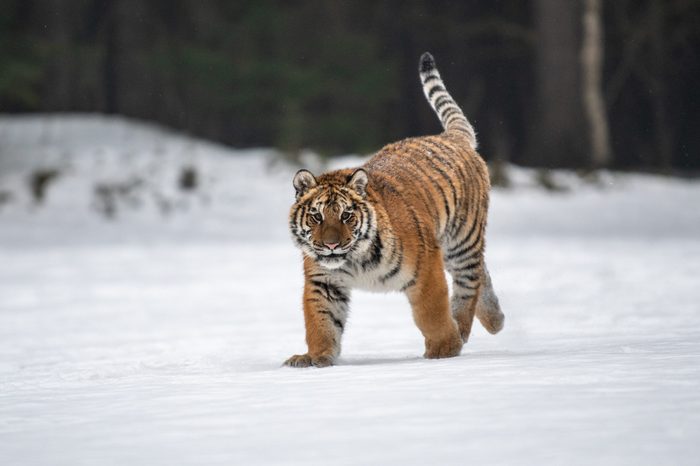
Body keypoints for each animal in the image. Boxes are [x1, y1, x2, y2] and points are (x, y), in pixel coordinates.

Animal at [284, 52, 504, 368]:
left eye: (346, 216)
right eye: (317, 216)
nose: (331, 245)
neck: (354, 260)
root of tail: (449, 137)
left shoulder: (426, 266)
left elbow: (431, 312)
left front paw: (443, 350)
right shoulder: (323, 282)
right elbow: (321, 322)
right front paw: (316, 357)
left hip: (461, 240)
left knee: (468, 283)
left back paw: (462, 330)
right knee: (481, 272)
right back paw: (495, 319)